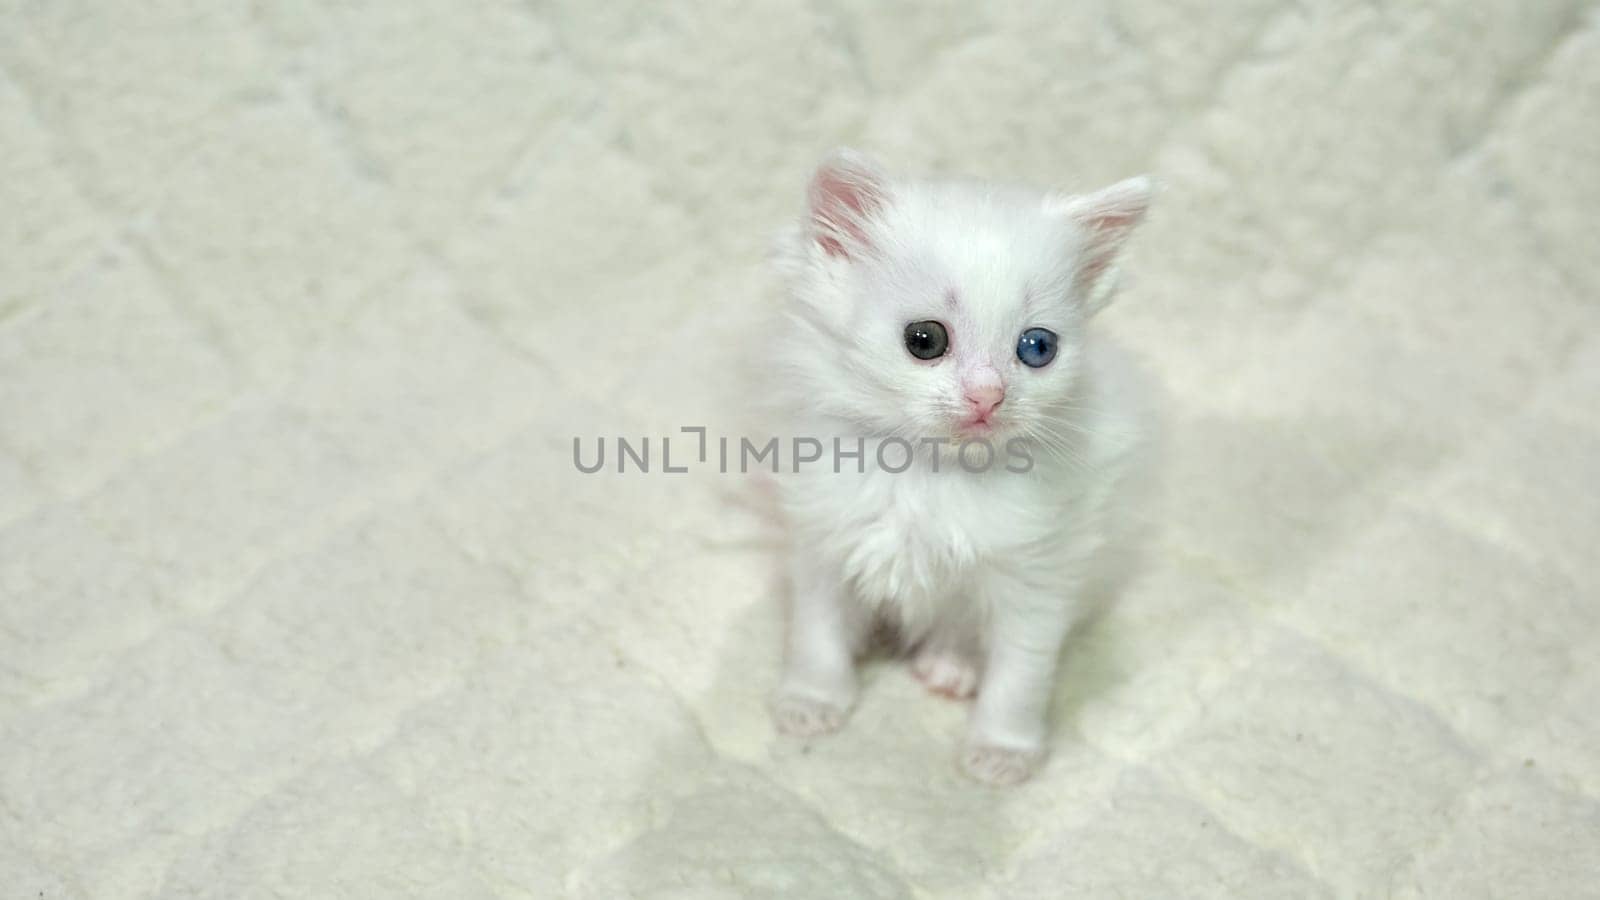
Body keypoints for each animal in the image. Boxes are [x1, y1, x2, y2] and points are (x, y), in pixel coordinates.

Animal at [764, 147, 1152, 778]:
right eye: (925, 339)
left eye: (1037, 347)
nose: (988, 397)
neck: (930, 472)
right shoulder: (824, 537)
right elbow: (817, 630)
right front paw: (811, 700)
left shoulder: (1039, 572)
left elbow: (1021, 672)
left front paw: (1003, 749)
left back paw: (953, 665)